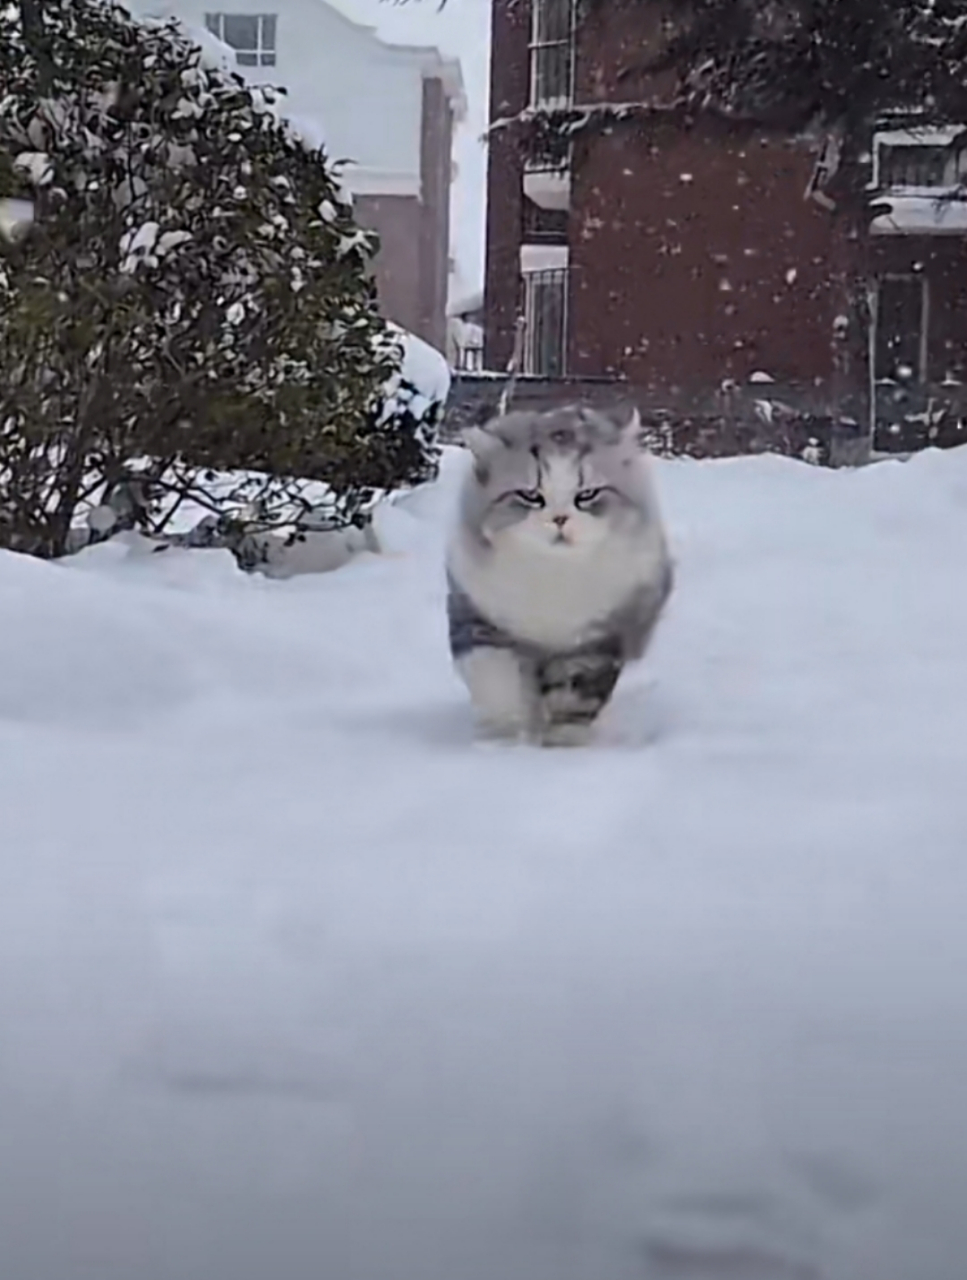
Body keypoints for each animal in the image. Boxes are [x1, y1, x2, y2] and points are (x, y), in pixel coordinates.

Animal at [445, 399, 671, 742]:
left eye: (587, 495)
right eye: (530, 496)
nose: (560, 519)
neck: (552, 576)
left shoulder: (595, 641)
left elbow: (573, 696)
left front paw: (562, 742)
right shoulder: (476, 617)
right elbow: (497, 680)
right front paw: (507, 735)